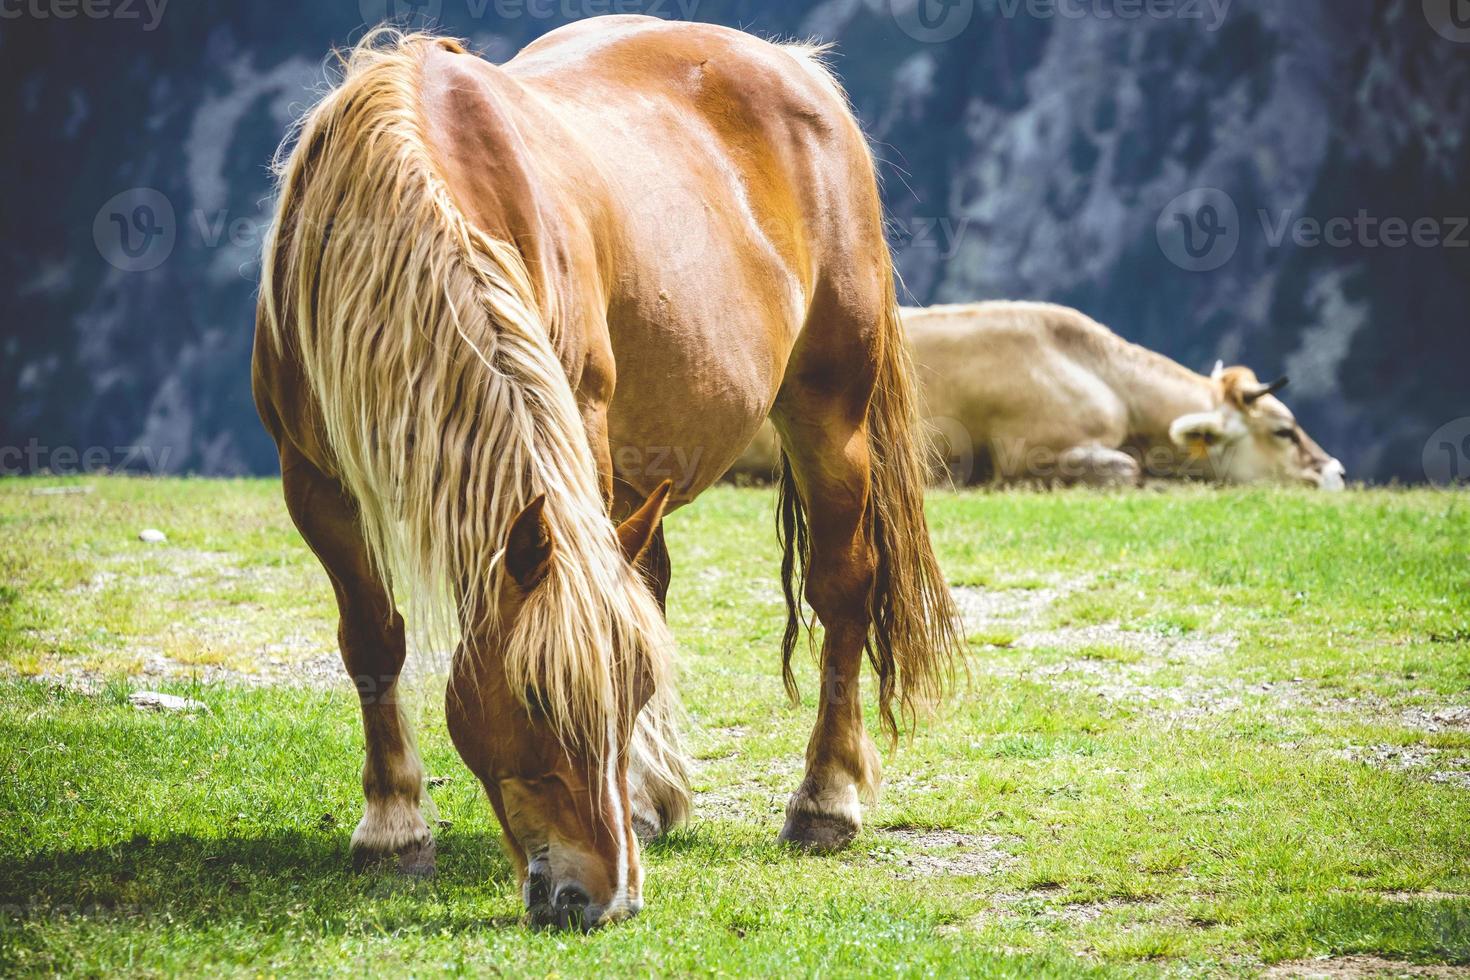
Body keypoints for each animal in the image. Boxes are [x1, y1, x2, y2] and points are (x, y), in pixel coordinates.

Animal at [249, 19, 964, 934]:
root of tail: (797, 67)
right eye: (534, 701)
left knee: (842, 590)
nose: (604, 896)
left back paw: (824, 802)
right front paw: (393, 827)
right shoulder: (311, 479)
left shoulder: (578, 425)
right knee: (650, 579)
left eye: (628, 695)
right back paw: (659, 801)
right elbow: (372, 638)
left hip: (828, 414)